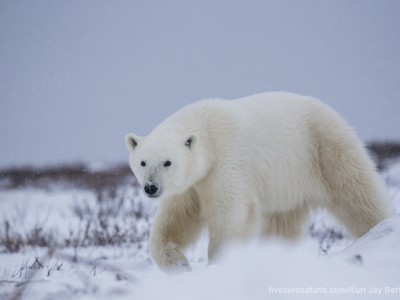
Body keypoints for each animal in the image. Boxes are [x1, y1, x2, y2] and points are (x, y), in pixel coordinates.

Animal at [124, 92, 388, 274]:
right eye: (143, 162)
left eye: (167, 162)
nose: (151, 187)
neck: (208, 133)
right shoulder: (190, 185)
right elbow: (177, 220)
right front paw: (180, 264)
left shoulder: (226, 163)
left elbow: (232, 213)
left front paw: (219, 265)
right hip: (288, 186)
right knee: (282, 224)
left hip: (326, 149)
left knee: (357, 195)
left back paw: (378, 231)